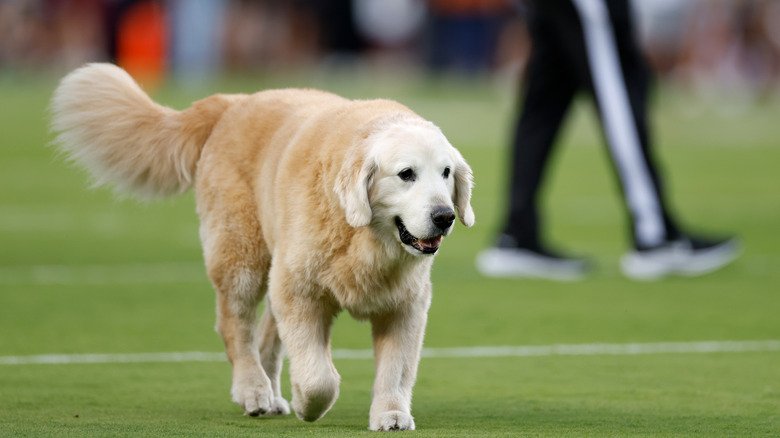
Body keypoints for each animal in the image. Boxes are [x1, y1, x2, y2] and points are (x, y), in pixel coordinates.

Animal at [51, 64, 476, 432]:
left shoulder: (405, 305)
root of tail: (233, 102)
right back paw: (254, 392)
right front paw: (307, 404)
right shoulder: (300, 290)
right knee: (236, 328)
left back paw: (270, 396)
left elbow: (395, 369)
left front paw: (390, 415)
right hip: (243, 258)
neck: (364, 236)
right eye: (406, 174)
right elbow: (319, 376)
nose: (444, 216)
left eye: (446, 173)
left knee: (267, 338)